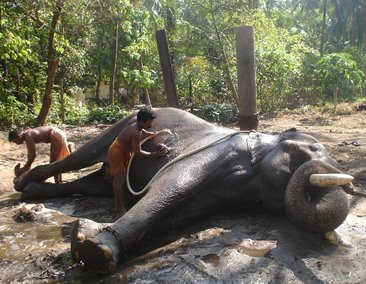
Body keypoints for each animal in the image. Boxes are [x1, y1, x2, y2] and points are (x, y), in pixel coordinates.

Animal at [12, 106, 354, 272]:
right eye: (312, 150)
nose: (351, 185)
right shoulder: (218, 150)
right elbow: (174, 185)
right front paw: (98, 253)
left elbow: (179, 212)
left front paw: (85, 237)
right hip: (118, 128)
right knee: (85, 155)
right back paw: (22, 183)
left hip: (106, 176)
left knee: (92, 184)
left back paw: (33, 191)